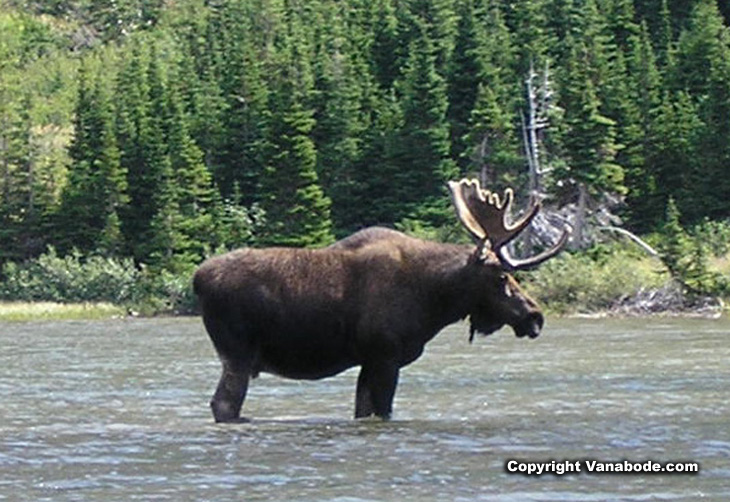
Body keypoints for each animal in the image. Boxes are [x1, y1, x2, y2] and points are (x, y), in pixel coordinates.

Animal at [193, 178, 568, 422]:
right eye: (501, 276)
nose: (535, 316)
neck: (435, 299)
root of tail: (197, 279)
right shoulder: (385, 355)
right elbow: (383, 410)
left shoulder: (368, 360)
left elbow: (363, 411)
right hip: (238, 353)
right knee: (224, 404)